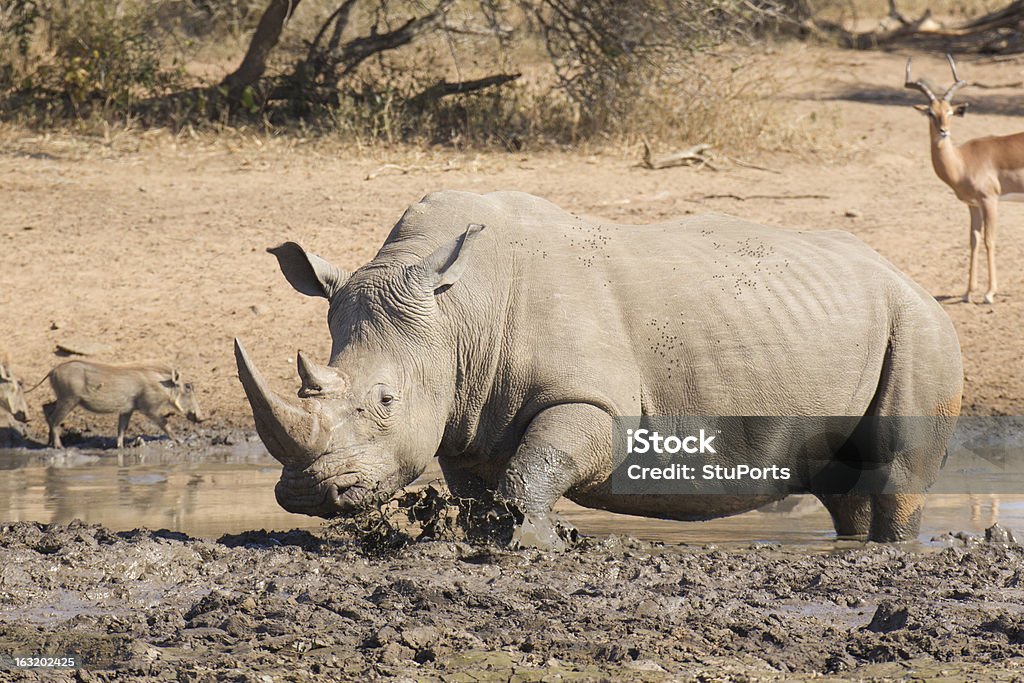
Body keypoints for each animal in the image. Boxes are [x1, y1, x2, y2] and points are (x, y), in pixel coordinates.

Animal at [32, 360, 204, 450]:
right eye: (188, 388)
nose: (201, 418)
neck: (164, 386)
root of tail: (53, 370)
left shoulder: (127, 410)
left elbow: (121, 428)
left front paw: (120, 447)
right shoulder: (150, 409)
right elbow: (165, 423)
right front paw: (179, 441)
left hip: (62, 398)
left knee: (46, 408)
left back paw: (49, 443)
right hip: (69, 400)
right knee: (55, 420)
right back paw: (58, 446)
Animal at [235, 191, 962, 544]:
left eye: (385, 401)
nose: (306, 495)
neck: (457, 316)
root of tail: (911, 279)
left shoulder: (594, 400)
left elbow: (540, 461)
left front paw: (527, 539)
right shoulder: (466, 419)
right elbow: (477, 484)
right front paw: (481, 533)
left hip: (919, 325)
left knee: (895, 470)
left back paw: (891, 548)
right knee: (844, 482)